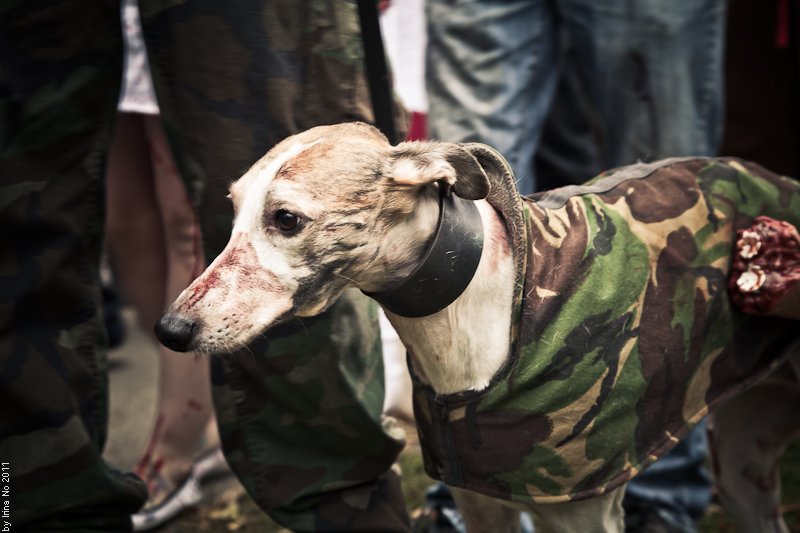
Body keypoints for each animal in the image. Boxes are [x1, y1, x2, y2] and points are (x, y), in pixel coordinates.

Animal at [155, 122, 800, 528]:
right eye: (233, 211)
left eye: (286, 219)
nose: (170, 330)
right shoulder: (482, 503)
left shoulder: (582, 512)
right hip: (744, 469)